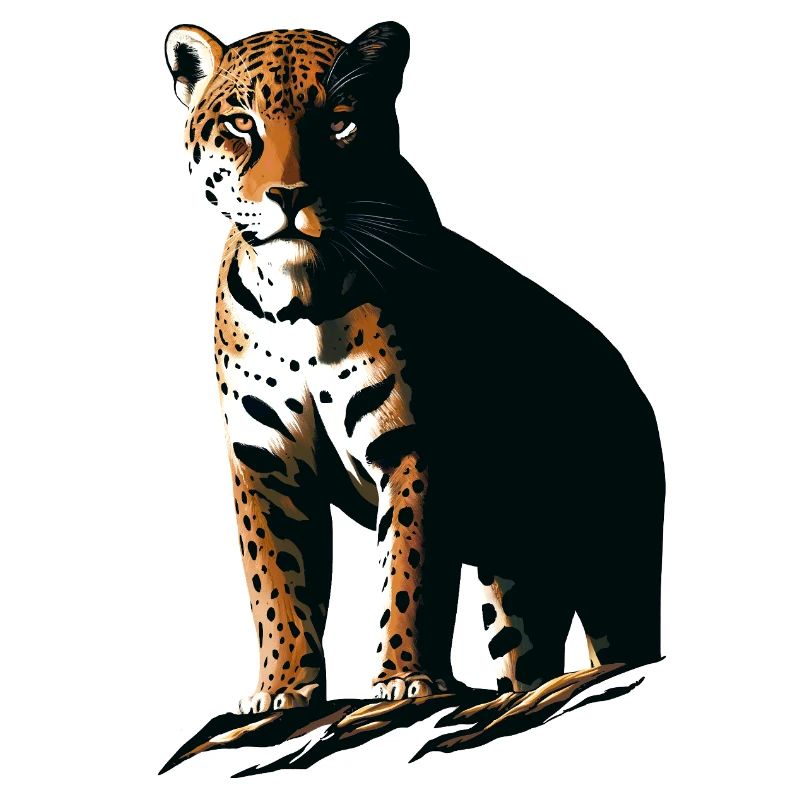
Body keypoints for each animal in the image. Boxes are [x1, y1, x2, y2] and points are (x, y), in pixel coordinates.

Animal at [164, 20, 665, 720]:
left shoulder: (413, 445)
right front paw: (283, 687)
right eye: (242, 122)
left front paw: (405, 678)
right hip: (515, 577)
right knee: (526, 654)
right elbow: (277, 583)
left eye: (340, 123)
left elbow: (409, 570)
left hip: (618, 562)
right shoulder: (265, 459)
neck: (298, 300)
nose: (289, 195)